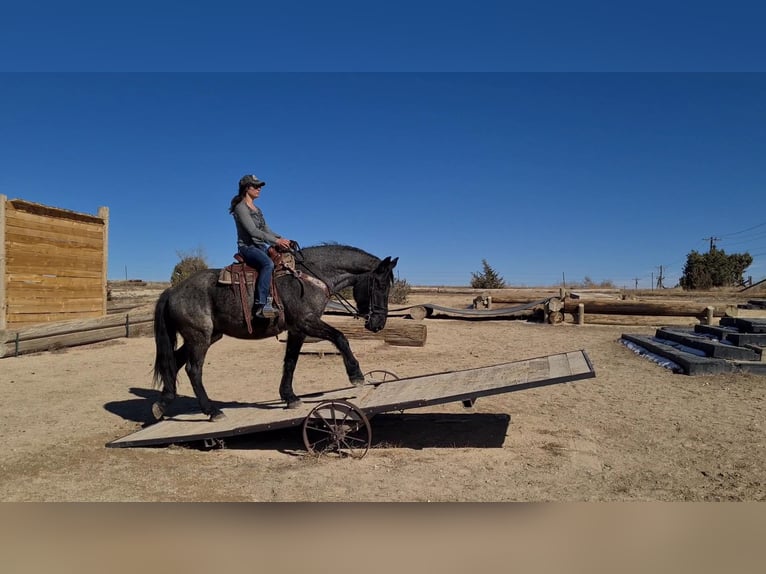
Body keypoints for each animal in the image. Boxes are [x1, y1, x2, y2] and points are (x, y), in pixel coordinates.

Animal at [152, 243, 402, 424]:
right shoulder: (307, 322)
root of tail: (173, 291)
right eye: (380, 285)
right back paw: (212, 411)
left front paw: (289, 397)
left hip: (207, 336)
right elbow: (340, 337)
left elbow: (290, 362)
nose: (378, 323)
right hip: (199, 338)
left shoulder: (297, 330)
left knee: (173, 362)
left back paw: (162, 404)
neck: (311, 277)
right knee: (193, 370)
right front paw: (356, 375)